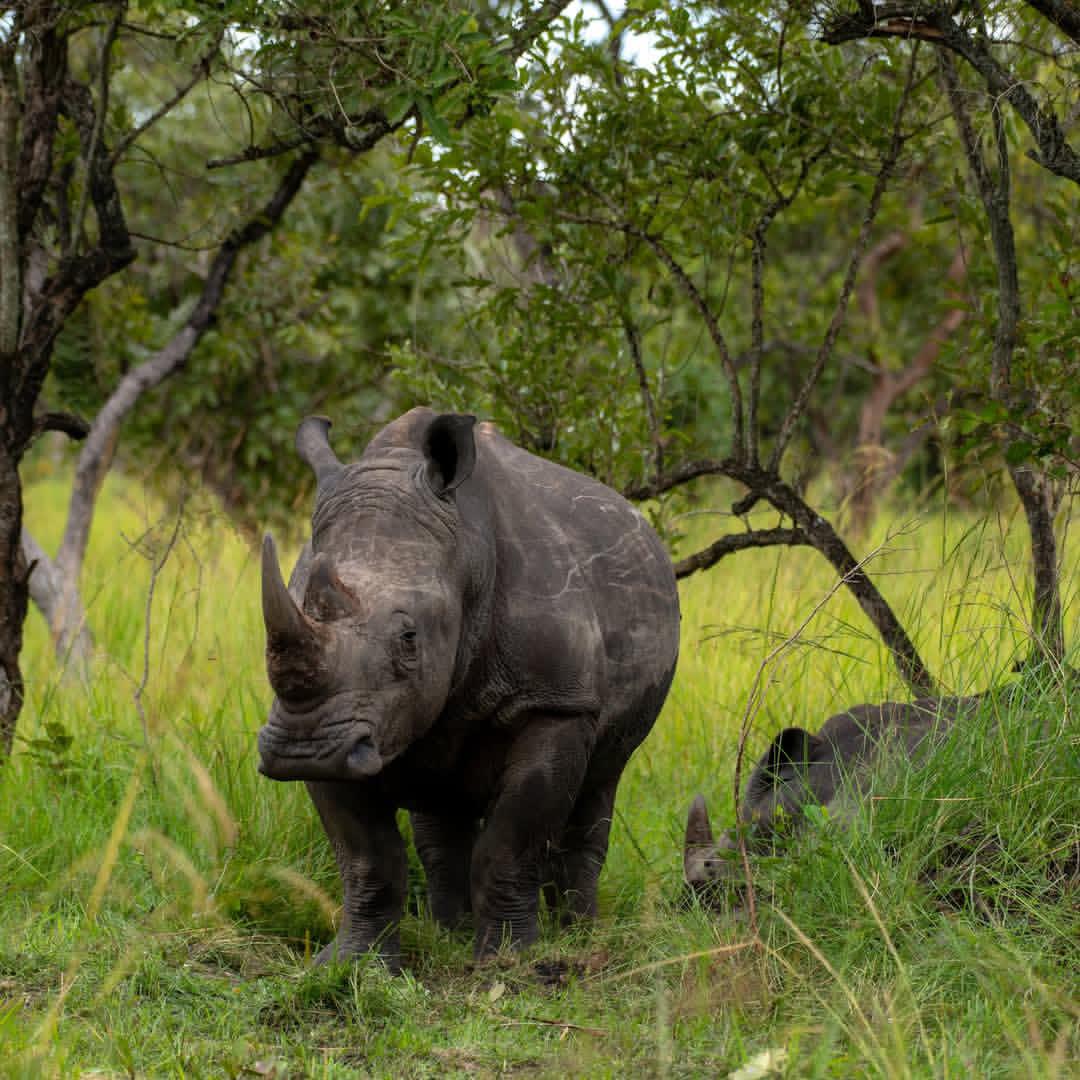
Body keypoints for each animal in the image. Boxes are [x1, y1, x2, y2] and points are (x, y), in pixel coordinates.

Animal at [258, 408, 680, 966]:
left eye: (409, 638)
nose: (301, 750)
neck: (466, 552)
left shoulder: (556, 704)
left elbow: (509, 843)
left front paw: (508, 961)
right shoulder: (337, 726)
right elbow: (367, 857)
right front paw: (353, 963)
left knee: (603, 778)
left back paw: (579, 935)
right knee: (441, 808)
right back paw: (450, 934)